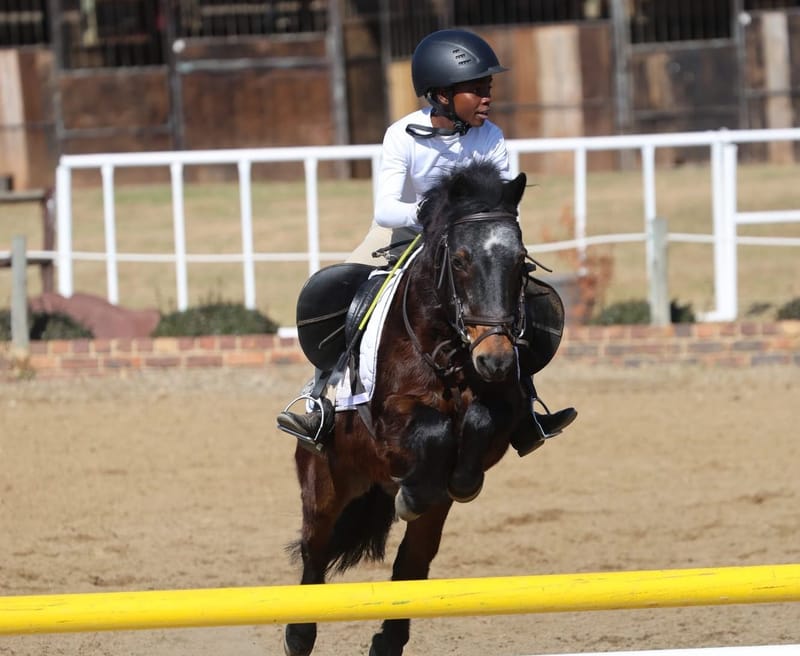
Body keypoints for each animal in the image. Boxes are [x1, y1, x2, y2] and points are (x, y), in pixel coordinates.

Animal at [284, 161, 538, 656]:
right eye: (458, 261)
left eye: (521, 263)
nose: (495, 359)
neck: (448, 350)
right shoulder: (388, 419)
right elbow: (433, 430)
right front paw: (414, 491)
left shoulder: (502, 415)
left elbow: (478, 424)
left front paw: (456, 479)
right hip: (326, 480)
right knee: (315, 549)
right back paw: (299, 634)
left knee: (412, 561)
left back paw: (389, 638)